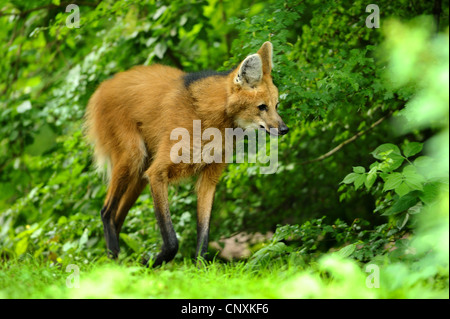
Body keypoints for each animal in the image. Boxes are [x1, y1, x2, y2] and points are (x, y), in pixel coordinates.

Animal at [84, 42, 288, 268]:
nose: (284, 129)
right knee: (106, 212)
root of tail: (103, 86)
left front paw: (200, 271)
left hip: (140, 173)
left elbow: (204, 233)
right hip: (133, 158)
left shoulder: (209, 178)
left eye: (276, 106)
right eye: (262, 107)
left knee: (118, 216)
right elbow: (172, 240)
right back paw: (114, 262)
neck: (209, 118)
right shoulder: (157, 173)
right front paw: (150, 263)